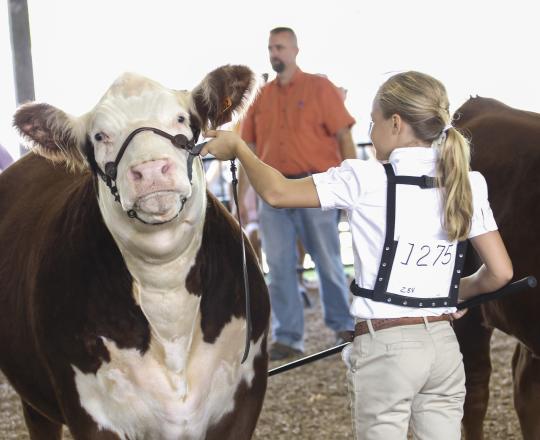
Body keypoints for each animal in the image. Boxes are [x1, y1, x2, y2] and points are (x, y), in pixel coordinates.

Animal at [0, 65, 270, 440]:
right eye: (100, 136)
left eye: (180, 118)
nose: (152, 169)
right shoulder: (91, 412)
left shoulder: (244, 395)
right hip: (35, 399)